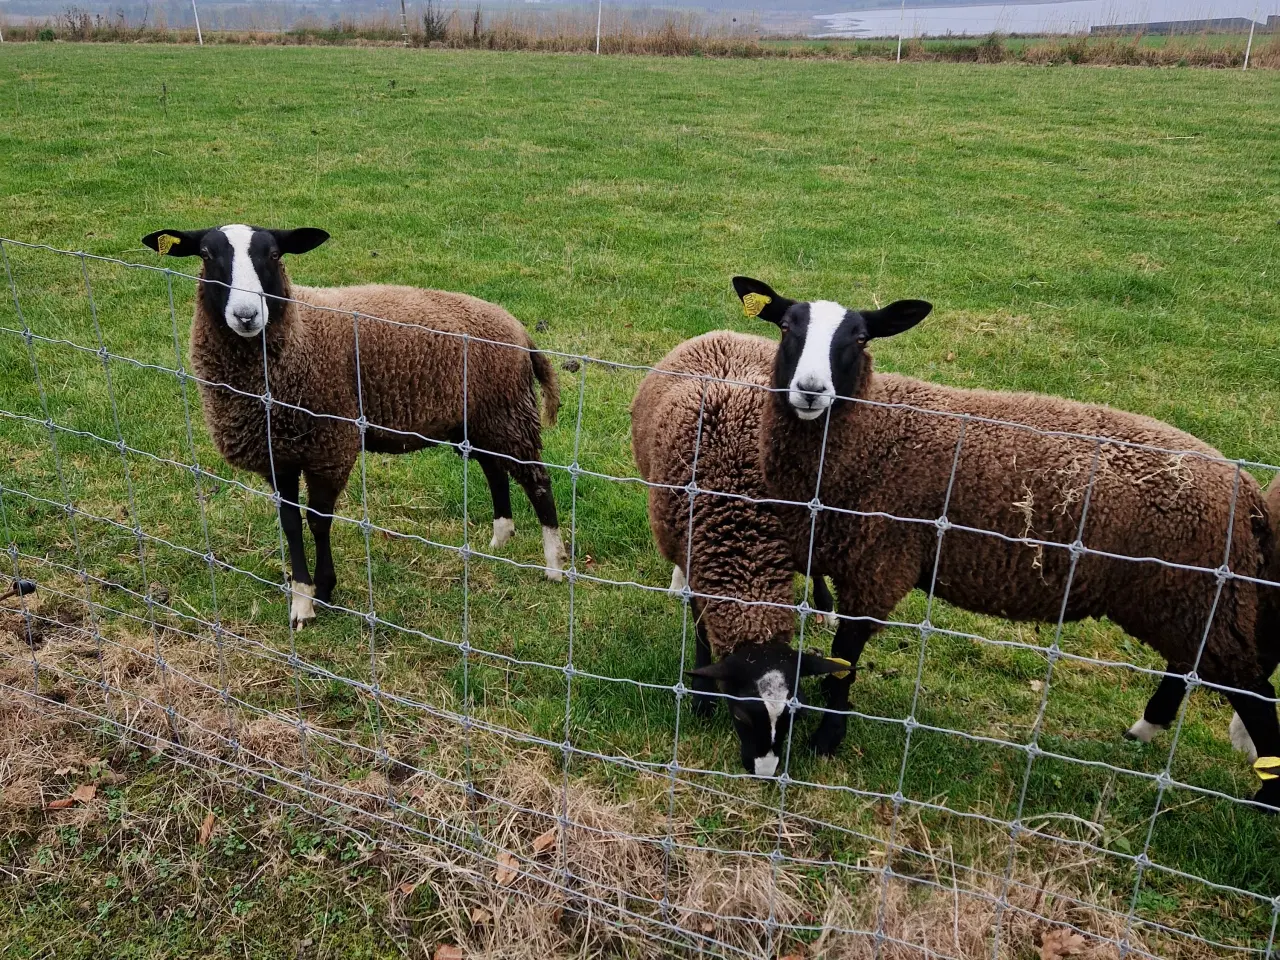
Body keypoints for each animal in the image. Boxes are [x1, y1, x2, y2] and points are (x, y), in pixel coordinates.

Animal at [140, 225, 570, 632]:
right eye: (206, 254)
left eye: (274, 254)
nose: (247, 315)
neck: (299, 339)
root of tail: (519, 332)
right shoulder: (278, 455)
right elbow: (290, 524)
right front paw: (301, 601)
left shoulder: (329, 447)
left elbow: (318, 521)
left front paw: (324, 590)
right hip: (478, 418)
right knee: (494, 469)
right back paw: (500, 538)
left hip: (507, 412)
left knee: (537, 480)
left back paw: (554, 563)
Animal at [632, 335, 849, 778]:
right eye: (739, 716)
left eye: (796, 717)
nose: (765, 773)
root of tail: (725, 335)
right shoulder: (699, 564)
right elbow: (701, 633)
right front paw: (701, 698)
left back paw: (825, 607)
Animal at [732, 277, 1280, 814]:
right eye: (786, 327)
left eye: (861, 339)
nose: (810, 392)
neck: (872, 438)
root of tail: (1249, 493)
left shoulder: (879, 564)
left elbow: (845, 658)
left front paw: (827, 737)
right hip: (1192, 601)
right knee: (1195, 670)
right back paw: (1144, 729)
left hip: (1194, 595)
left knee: (1252, 691)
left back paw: (1263, 800)